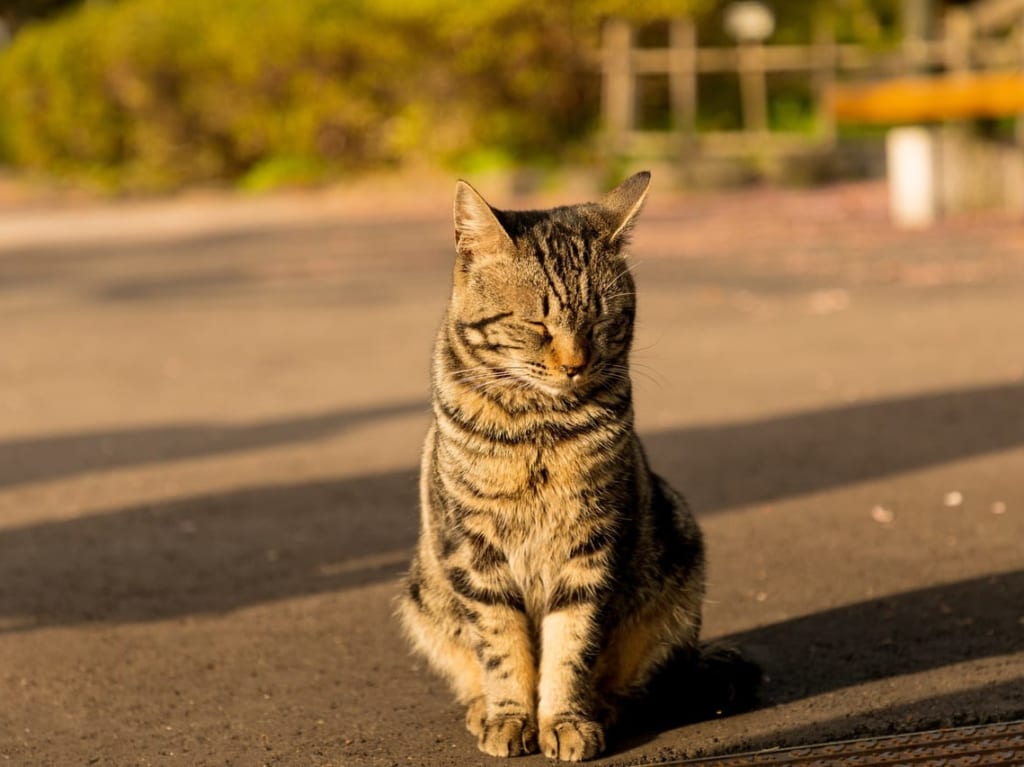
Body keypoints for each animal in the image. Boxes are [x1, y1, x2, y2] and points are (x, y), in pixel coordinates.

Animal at [395, 173, 716, 761]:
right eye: (536, 323)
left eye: (602, 320)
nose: (574, 365)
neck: (539, 428)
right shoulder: (475, 553)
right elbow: (500, 647)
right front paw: (509, 717)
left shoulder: (591, 547)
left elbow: (572, 647)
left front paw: (565, 720)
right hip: (423, 591)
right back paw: (481, 710)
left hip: (678, 557)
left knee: (628, 683)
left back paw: (601, 709)